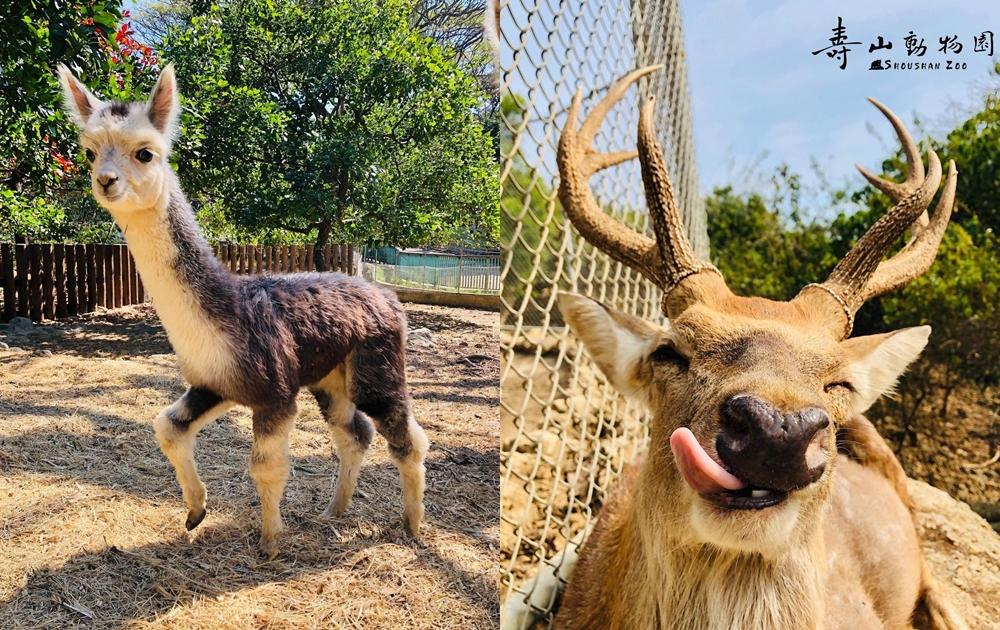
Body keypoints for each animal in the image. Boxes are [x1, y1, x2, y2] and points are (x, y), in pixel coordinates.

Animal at [57, 64, 426, 556]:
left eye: (145, 153)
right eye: (89, 151)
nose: (105, 181)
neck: (223, 311)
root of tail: (384, 294)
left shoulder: (274, 392)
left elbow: (266, 468)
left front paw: (270, 542)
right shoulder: (216, 382)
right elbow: (168, 427)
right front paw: (196, 511)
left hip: (377, 364)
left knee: (405, 437)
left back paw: (412, 525)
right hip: (330, 376)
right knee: (354, 434)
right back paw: (335, 510)